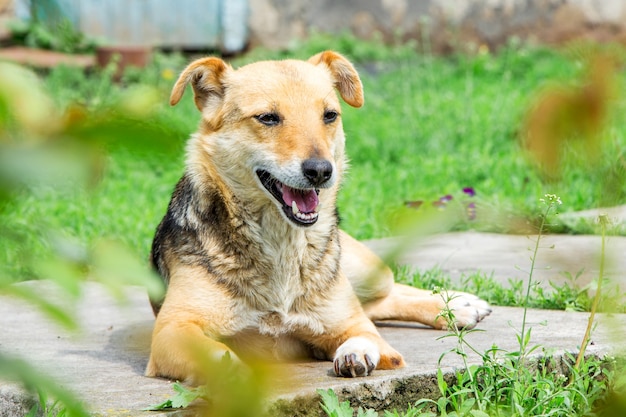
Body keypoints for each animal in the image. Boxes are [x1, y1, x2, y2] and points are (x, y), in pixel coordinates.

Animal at [144, 51, 490, 384]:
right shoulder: (171, 331)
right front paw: (234, 374)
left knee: (386, 292)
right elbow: (216, 353)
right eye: (267, 118)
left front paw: (354, 353)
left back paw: (458, 305)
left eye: (329, 115)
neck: (281, 244)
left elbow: (364, 335)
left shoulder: (355, 326)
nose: (321, 171)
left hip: (364, 268)